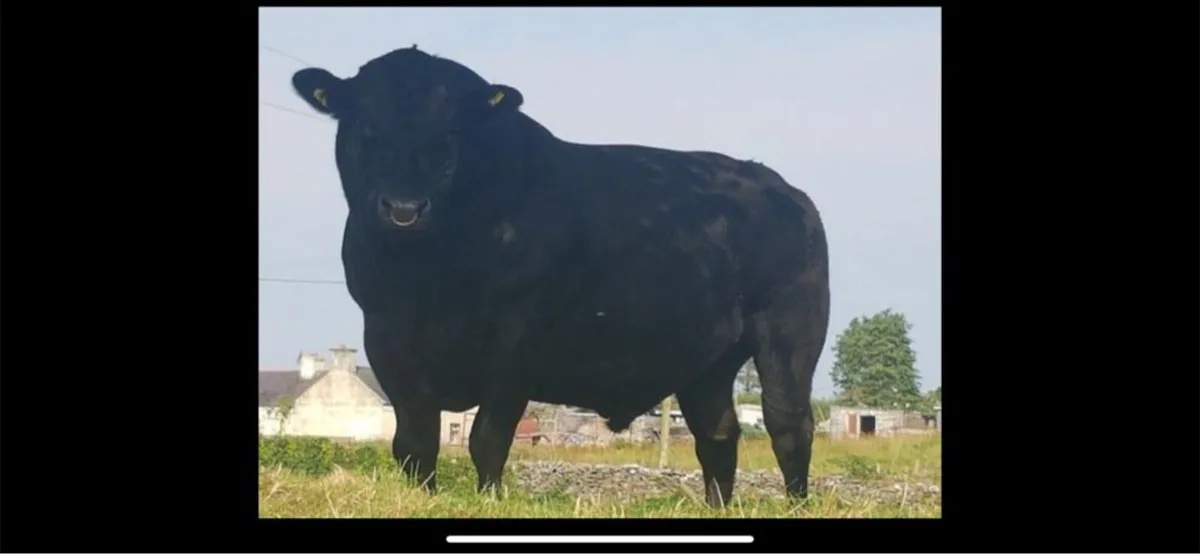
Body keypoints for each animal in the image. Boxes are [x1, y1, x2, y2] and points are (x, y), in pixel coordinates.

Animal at [289, 46, 831, 508]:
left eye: (451, 133)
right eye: (366, 125)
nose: (404, 209)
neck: (428, 278)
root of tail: (783, 188)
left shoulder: (515, 342)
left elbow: (488, 438)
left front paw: (490, 501)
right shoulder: (386, 336)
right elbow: (414, 441)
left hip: (790, 329)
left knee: (789, 424)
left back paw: (796, 504)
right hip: (709, 358)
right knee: (717, 433)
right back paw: (716, 508)